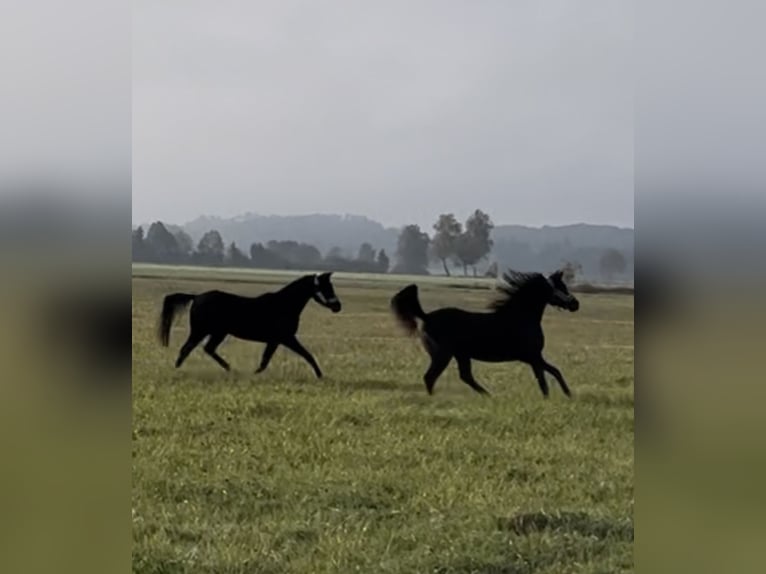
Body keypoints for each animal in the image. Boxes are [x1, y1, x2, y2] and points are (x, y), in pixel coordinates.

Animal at [159, 274, 342, 378]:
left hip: (218, 332)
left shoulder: (275, 340)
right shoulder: (287, 338)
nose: (338, 306)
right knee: (187, 348)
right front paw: (320, 375)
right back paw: (178, 370)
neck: (283, 305)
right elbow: (307, 355)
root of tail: (196, 297)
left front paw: (254, 374)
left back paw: (230, 369)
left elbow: (265, 361)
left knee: (207, 349)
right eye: (326, 287)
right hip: (201, 331)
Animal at [392, 272, 580, 398]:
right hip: (443, 354)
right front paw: (568, 394)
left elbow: (545, 377)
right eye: (561, 288)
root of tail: (426, 316)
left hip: (460, 355)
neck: (520, 317)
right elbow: (552, 373)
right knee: (431, 377)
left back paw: (488, 396)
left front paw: (555, 396)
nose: (575, 304)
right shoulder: (532, 356)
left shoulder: (532, 357)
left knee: (464, 376)